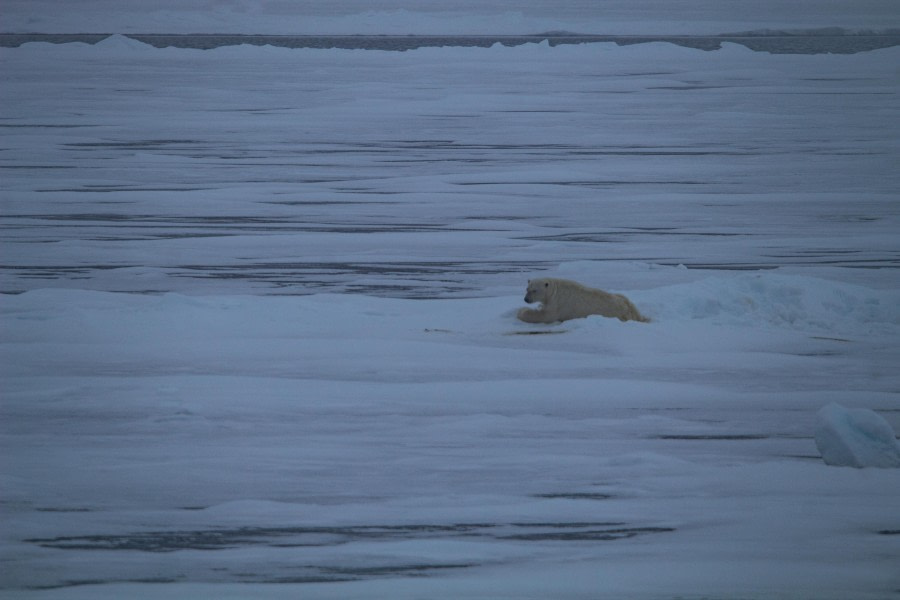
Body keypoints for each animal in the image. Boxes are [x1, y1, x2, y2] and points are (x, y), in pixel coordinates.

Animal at [516, 278, 652, 324]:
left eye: (534, 290)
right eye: (527, 289)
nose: (526, 299)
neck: (555, 290)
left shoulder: (558, 304)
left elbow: (545, 316)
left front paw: (522, 311)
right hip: (623, 298)